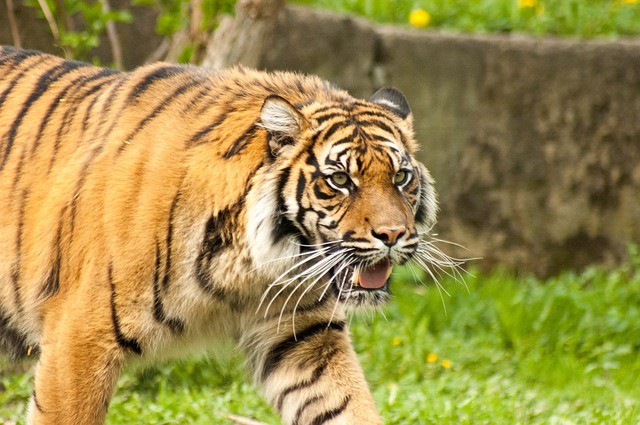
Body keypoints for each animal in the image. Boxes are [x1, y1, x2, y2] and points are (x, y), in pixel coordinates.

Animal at [0, 45, 446, 424]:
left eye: (401, 177)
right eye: (339, 181)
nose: (393, 235)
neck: (250, 266)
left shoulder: (303, 336)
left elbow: (348, 406)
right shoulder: (78, 340)